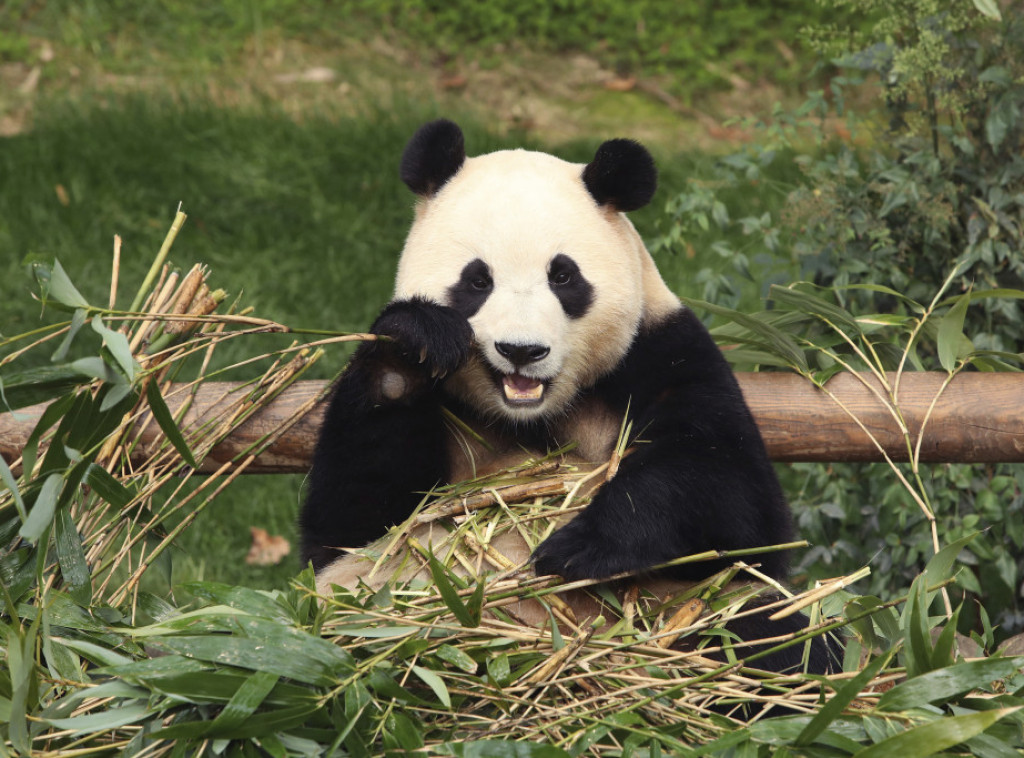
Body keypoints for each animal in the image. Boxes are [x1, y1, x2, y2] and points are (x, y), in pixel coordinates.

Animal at [300, 119, 835, 674]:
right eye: (477, 280)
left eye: (562, 276)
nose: (522, 350)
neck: (533, 415)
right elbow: (351, 522)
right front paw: (413, 346)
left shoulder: (662, 354)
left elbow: (734, 498)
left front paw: (577, 547)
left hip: (694, 610)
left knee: (775, 638)